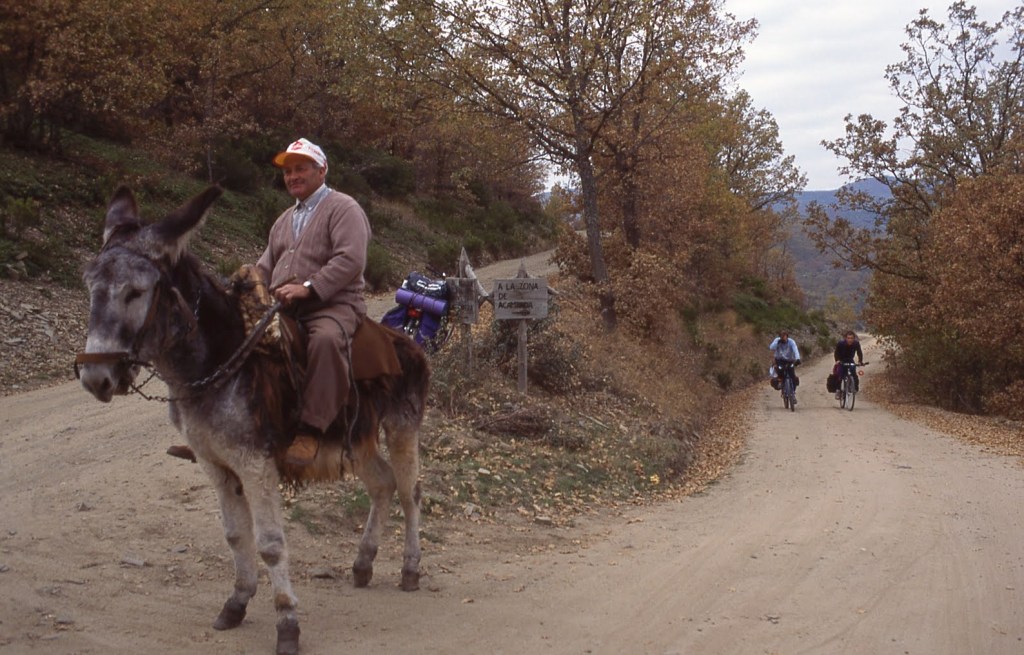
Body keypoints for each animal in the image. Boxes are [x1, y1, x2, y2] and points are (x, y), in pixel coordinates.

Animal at [76, 185, 429, 655]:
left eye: (135, 292)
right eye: (91, 287)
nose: (95, 378)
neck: (219, 361)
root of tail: (406, 342)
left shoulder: (255, 465)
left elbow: (271, 545)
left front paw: (287, 624)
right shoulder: (215, 465)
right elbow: (234, 536)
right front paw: (237, 603)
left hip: (403, 427)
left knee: (410, 492)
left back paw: (410, 569)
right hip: (357, 441)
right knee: (383, 485)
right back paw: (363, 563)